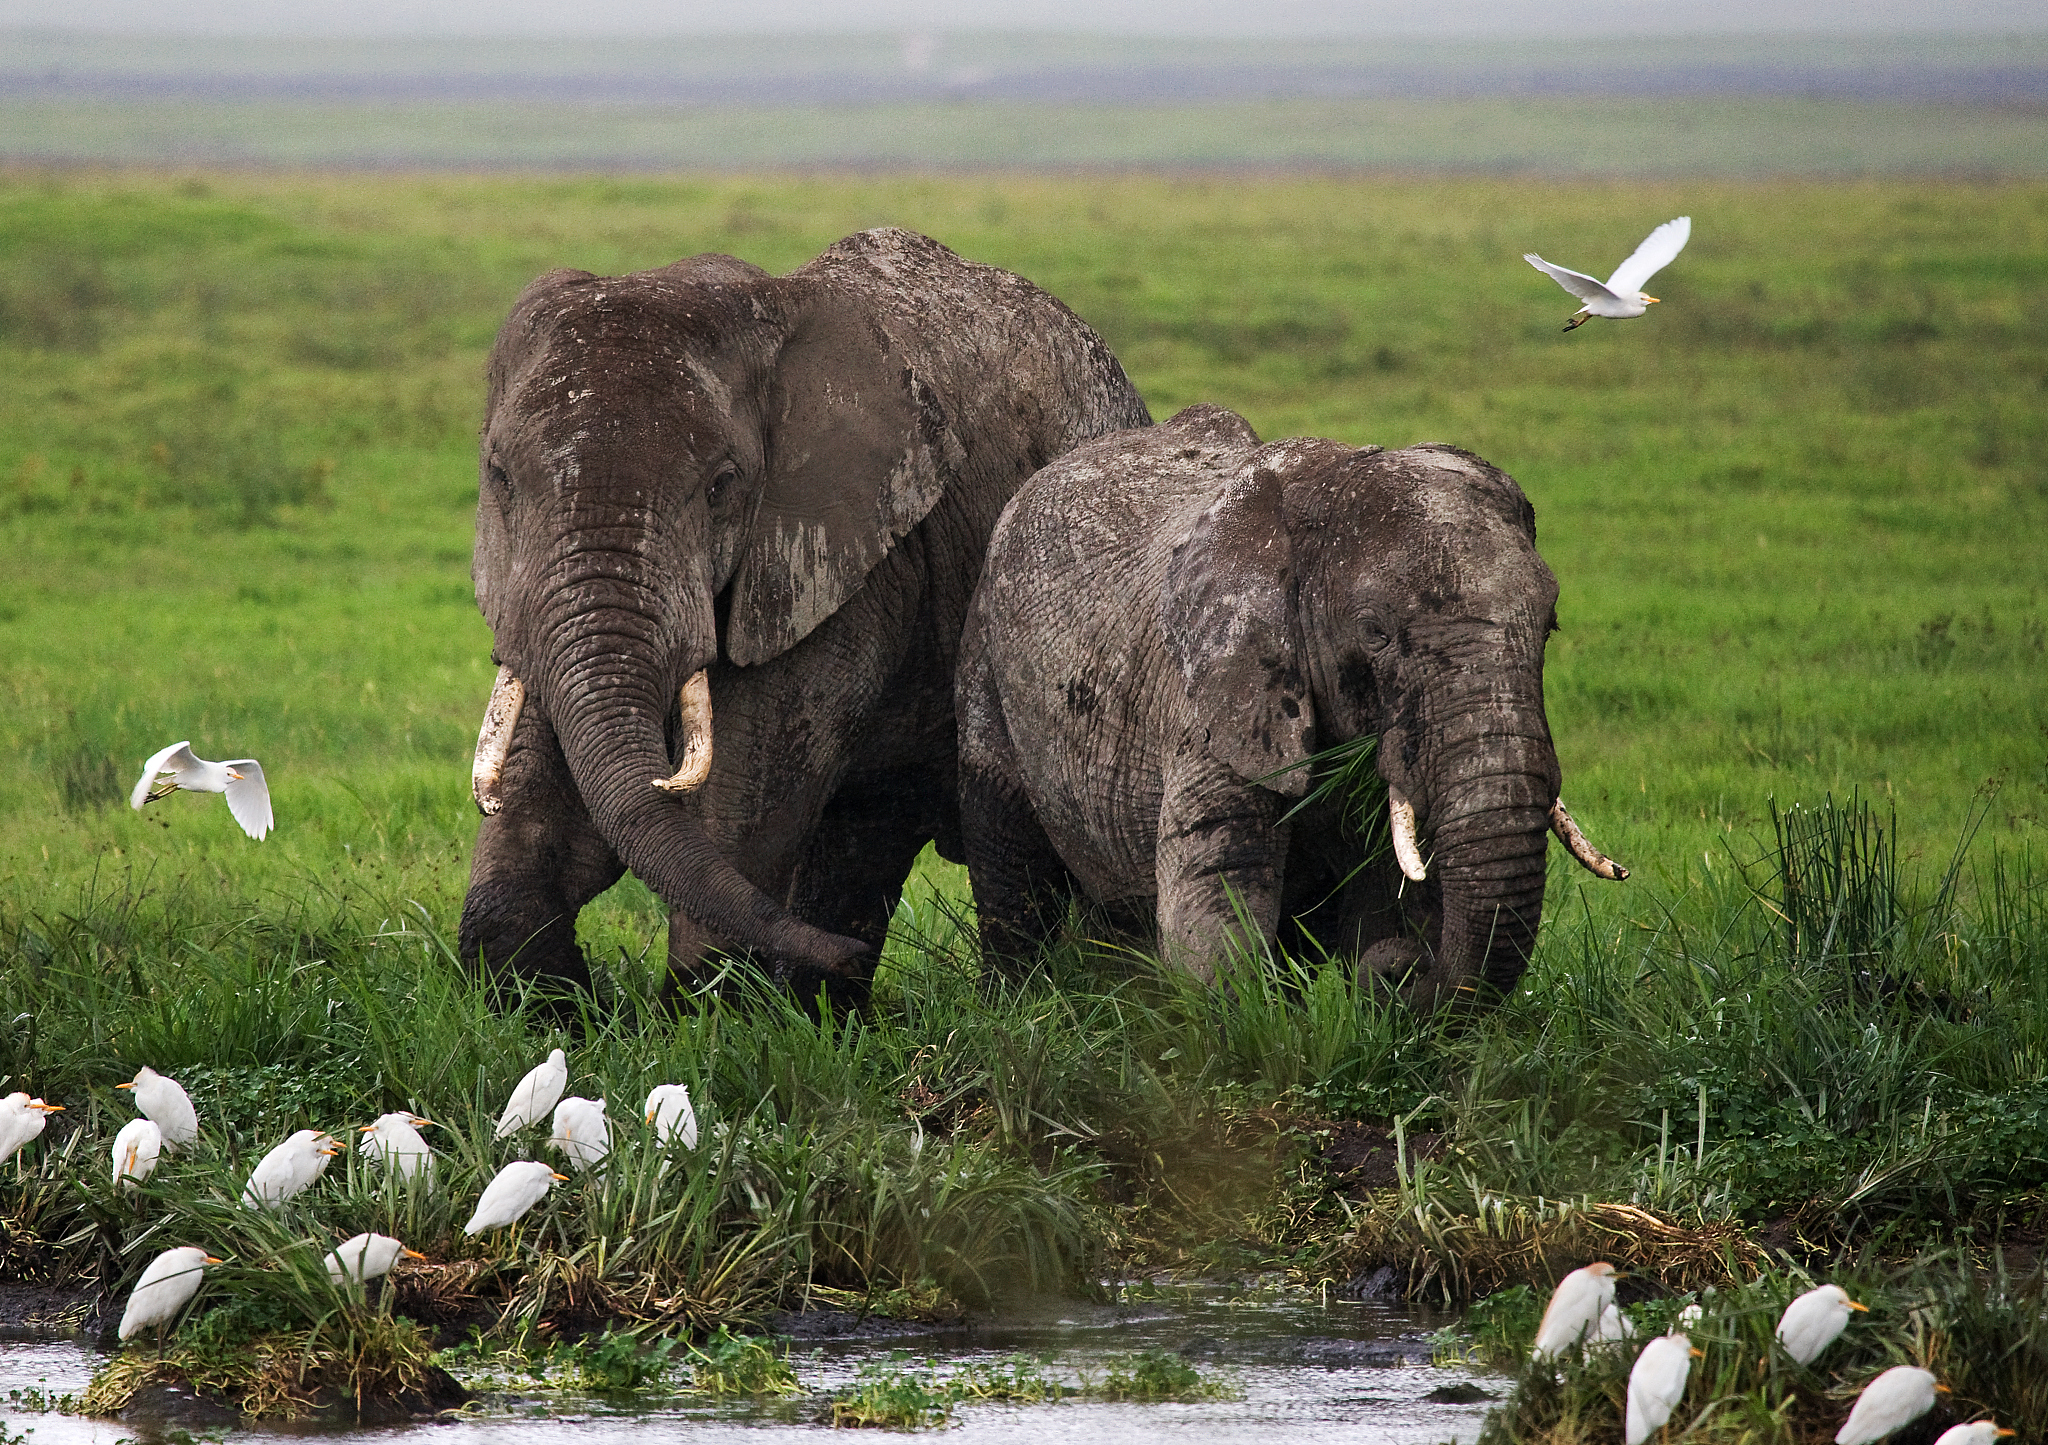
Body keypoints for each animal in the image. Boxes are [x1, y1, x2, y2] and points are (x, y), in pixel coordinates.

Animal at [458, 226, 1150, 1005]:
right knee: (861, 839)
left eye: (723, 485)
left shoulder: (848, 561)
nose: (843, 956)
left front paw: (705, 1009)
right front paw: (545, 1006)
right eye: (500, 477)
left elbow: (745, 792)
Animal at [956, 404, 1624, 1008]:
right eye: (1375, 633)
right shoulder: (1213, 696)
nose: (1402, 971)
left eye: (1550, 626)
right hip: (984, 656)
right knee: (1009, 856)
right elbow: (1215, 895)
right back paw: (1017, 1008)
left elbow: (1389, 890)